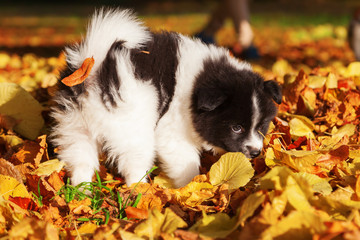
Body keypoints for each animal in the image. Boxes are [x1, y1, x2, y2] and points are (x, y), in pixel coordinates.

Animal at [51, 8, 282, 188]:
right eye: (236, 128)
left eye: (261, 126)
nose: (255, 152)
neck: (197, 83)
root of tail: (98, 64)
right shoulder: (172, 134)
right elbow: (187, 165)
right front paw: (189, 189)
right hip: (133, 127)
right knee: (135, 164)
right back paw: (142, 192)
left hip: (76, 125)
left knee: (81, 161)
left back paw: (82, 194)